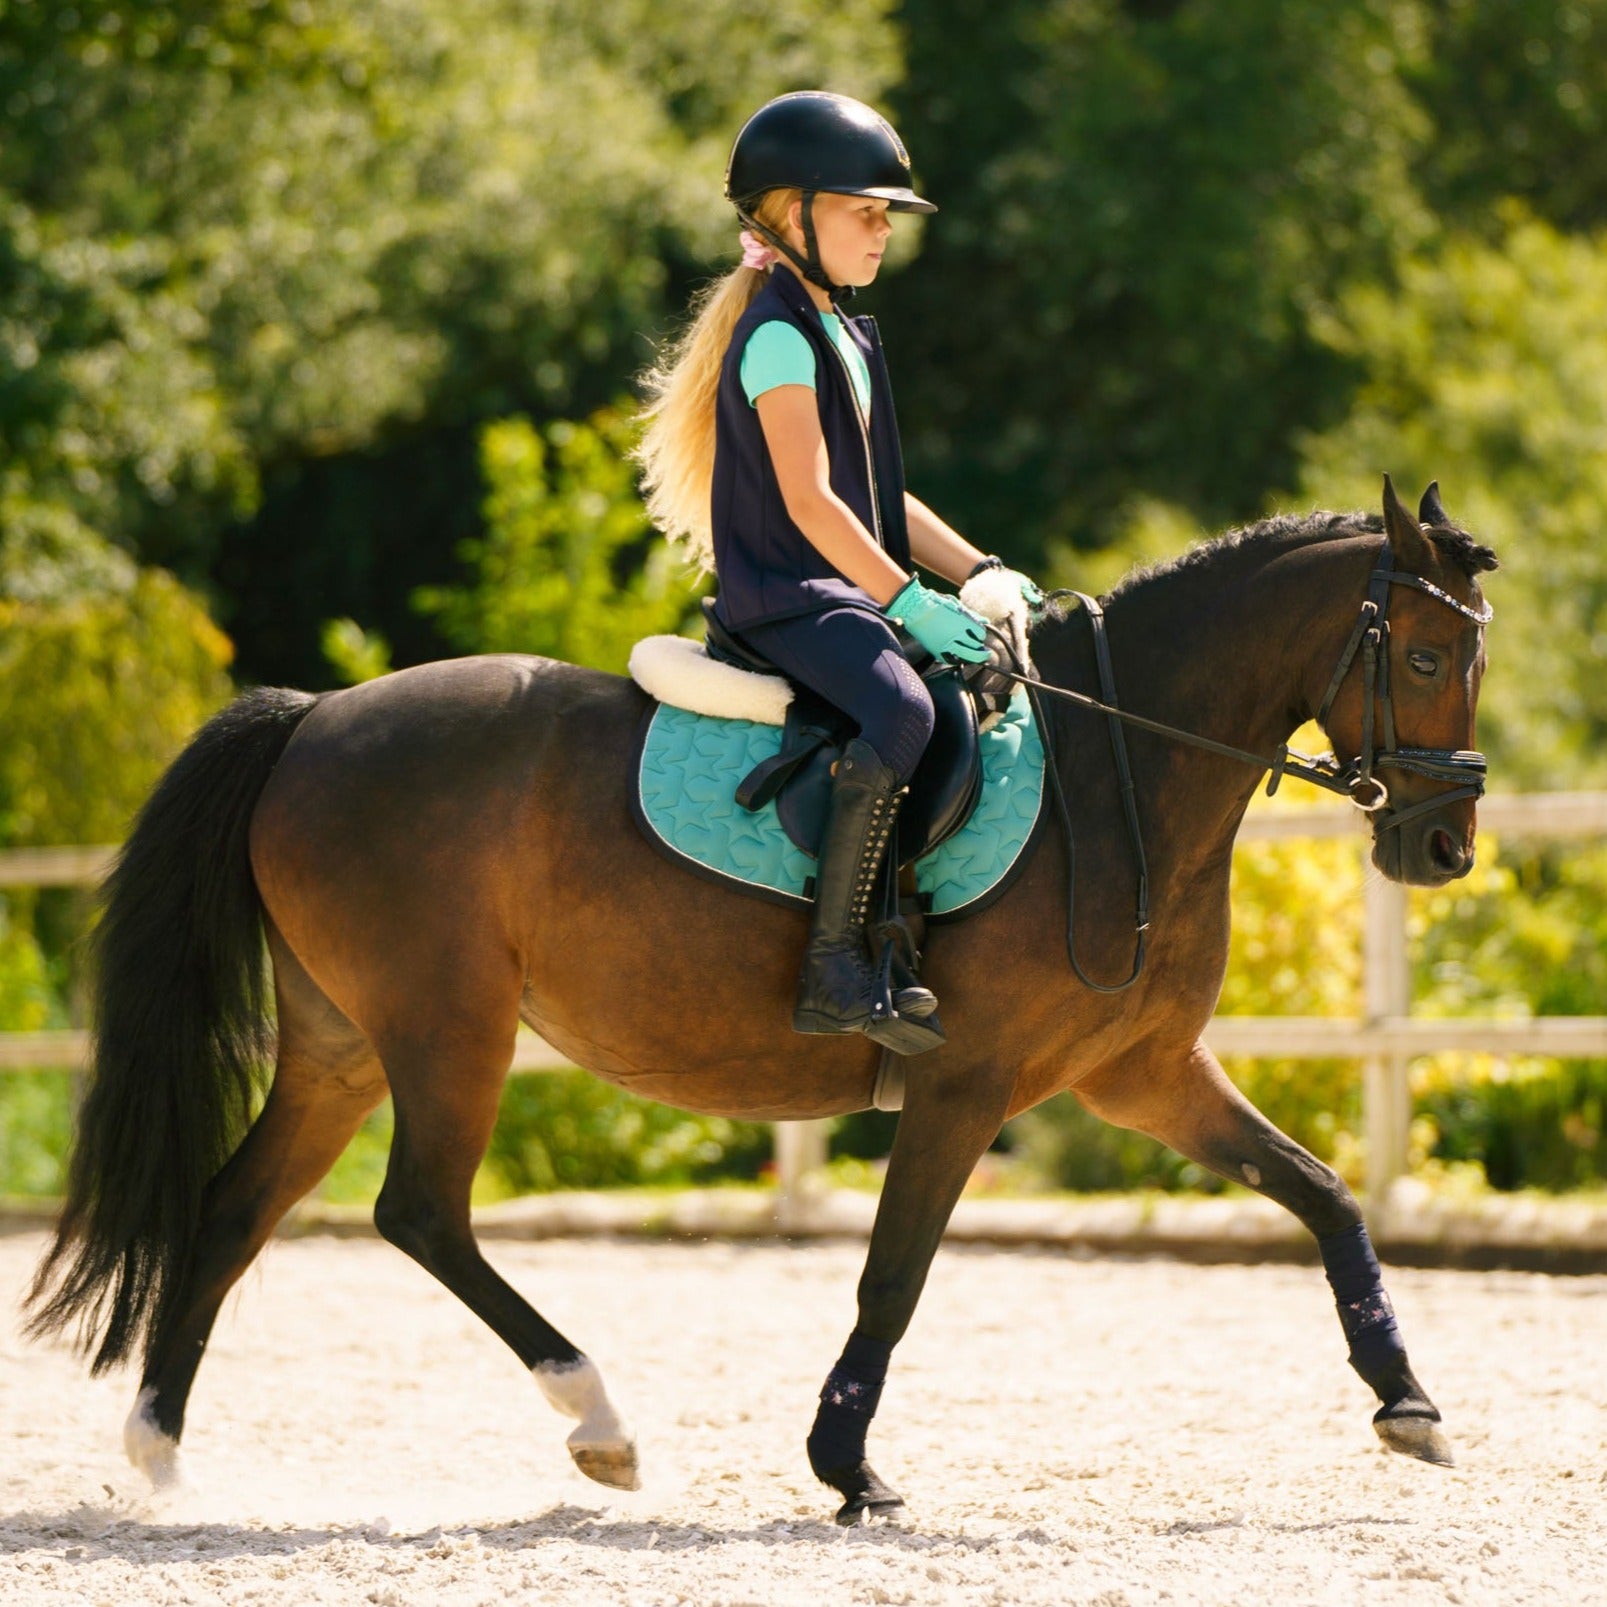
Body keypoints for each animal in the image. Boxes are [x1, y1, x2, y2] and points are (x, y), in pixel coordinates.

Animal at [31, 472, 1497, 1517]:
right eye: (1424, 660)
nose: (1441, 848)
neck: (1114, 767)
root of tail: (314, 717)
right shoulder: (964, 1085)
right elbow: (891, 1275)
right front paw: (848, 1466)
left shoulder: (1138, 1074)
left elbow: (1321, 1192)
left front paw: (1407, 1403)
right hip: (447, 1029)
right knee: (418, 1212)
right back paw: (602, 1424)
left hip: (341, 1045)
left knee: (235, 1208)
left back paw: (162, 1458)